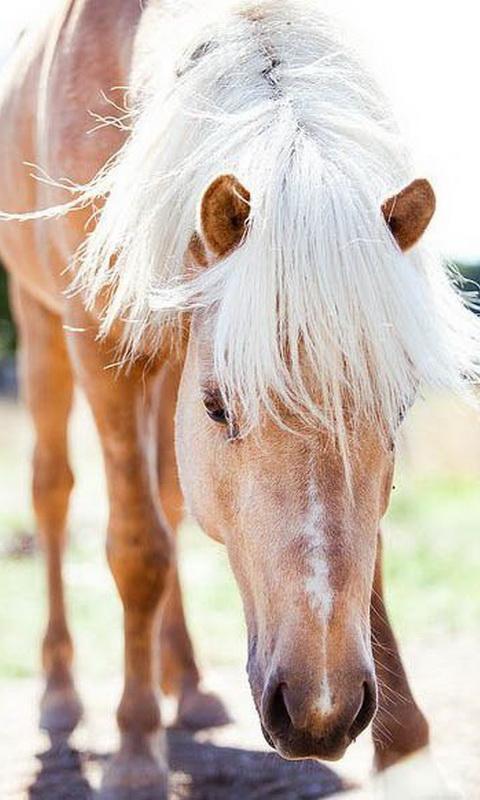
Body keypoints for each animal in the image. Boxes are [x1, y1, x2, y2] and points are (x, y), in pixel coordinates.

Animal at [0, 1, 476, 797]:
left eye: (400, 409)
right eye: (221, 407)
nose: (321, 710)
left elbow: (367, 544)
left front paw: (404, 741)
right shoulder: (99, 347)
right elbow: (137, 549)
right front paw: (136, 752)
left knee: (167, 495)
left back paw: (188, 685)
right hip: (41, 332)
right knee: (55, 493)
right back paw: (63, 696)